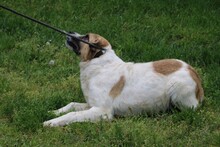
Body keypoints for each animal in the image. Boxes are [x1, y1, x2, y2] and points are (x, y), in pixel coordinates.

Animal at [43, 32, 205, 127]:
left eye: (86, 37)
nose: (69, 32)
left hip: (178, 90)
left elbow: (72, 115)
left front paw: (51, 122)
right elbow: (71, 105)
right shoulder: (91, 104)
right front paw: (53, 112)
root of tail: (193, 72)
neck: (99, 62)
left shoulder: (103, 111)